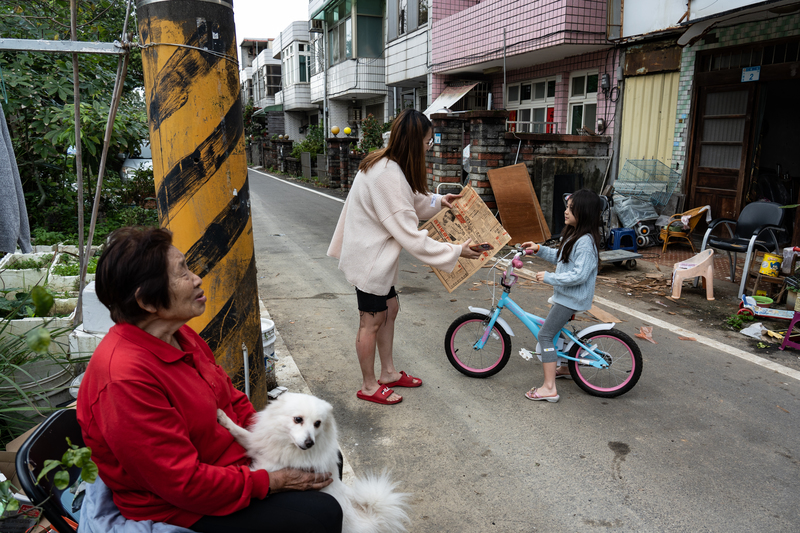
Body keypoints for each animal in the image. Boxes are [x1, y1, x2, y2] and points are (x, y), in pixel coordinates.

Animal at [216, 390, 410, 532]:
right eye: (298, 419)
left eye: (317, 423)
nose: (310, 443)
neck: (288, 445)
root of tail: (373, 521)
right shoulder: (256, 445)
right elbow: (240, 432)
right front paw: (222, 417)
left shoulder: (271, 468)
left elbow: (254, 477)